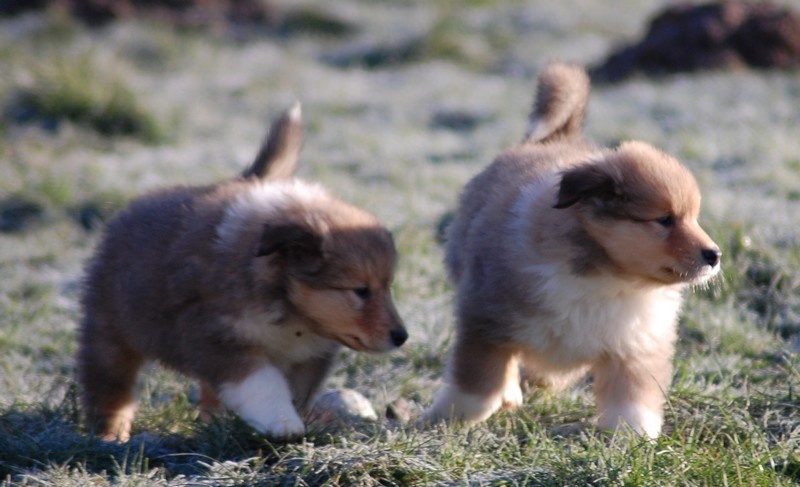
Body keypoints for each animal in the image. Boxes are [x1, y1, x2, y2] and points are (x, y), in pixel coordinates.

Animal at [77, 104, 406, 442]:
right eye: (361, 290)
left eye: (388, 286)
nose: (401, 337)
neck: (289, 311)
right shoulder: (218, 339)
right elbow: (263, 384)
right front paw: (283, 423)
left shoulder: (309, 357)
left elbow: (296, 391)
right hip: (110, 329)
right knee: (110, 387)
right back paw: (109, 435)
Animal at [424, 62, 720, 438]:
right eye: (665, 219)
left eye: (694, 217)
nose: (714, 255)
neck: (606, 276)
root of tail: (557, 136)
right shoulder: (485, 320)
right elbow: (476, 385)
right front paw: (448, 418)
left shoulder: (635, 345)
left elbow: (632, 401)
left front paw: (633, 439)